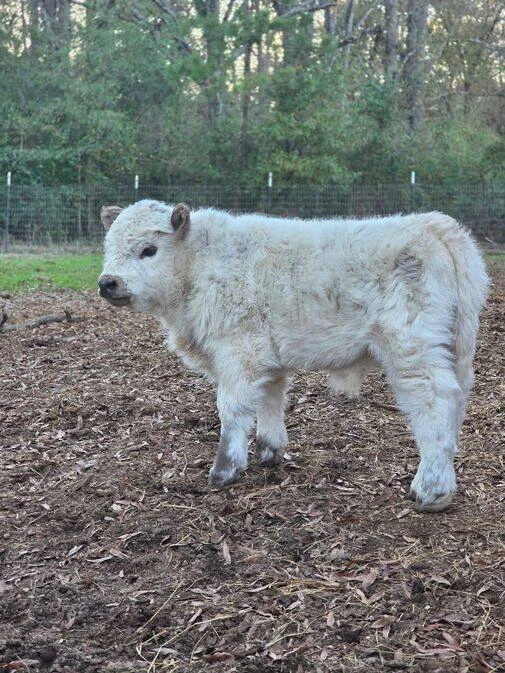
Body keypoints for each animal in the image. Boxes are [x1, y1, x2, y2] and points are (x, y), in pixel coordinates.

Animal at [98, 200, 489, 512]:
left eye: (148, 250)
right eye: (108, 247)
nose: (107, 282)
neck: (198, 265)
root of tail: (433, 226)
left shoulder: (238, 351)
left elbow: (232, 409)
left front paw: (224, 470)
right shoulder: (265, 356)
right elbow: (270, 399)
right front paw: (269, 453)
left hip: (412, 348)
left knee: (435, 402)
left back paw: (431, 491)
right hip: (454, 348)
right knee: (456, 401)